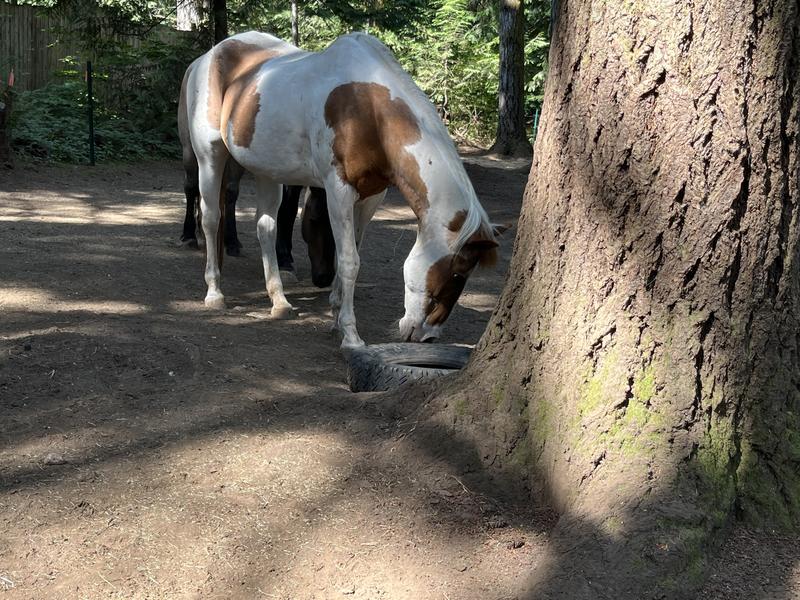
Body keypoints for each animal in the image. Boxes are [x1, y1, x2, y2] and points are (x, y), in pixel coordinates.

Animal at [182, 31, 504, 348]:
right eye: (457, 272)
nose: (426, 336)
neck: (368, 110)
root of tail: (208, 57)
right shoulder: (339, 191)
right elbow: (350, 261)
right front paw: (350, 335)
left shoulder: (371, 196)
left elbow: (347, 255)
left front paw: (336, 315)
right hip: (210, 156)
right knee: (211, 218)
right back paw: (215, 293)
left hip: (266, 169)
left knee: (266, 228)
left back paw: (280, 301)